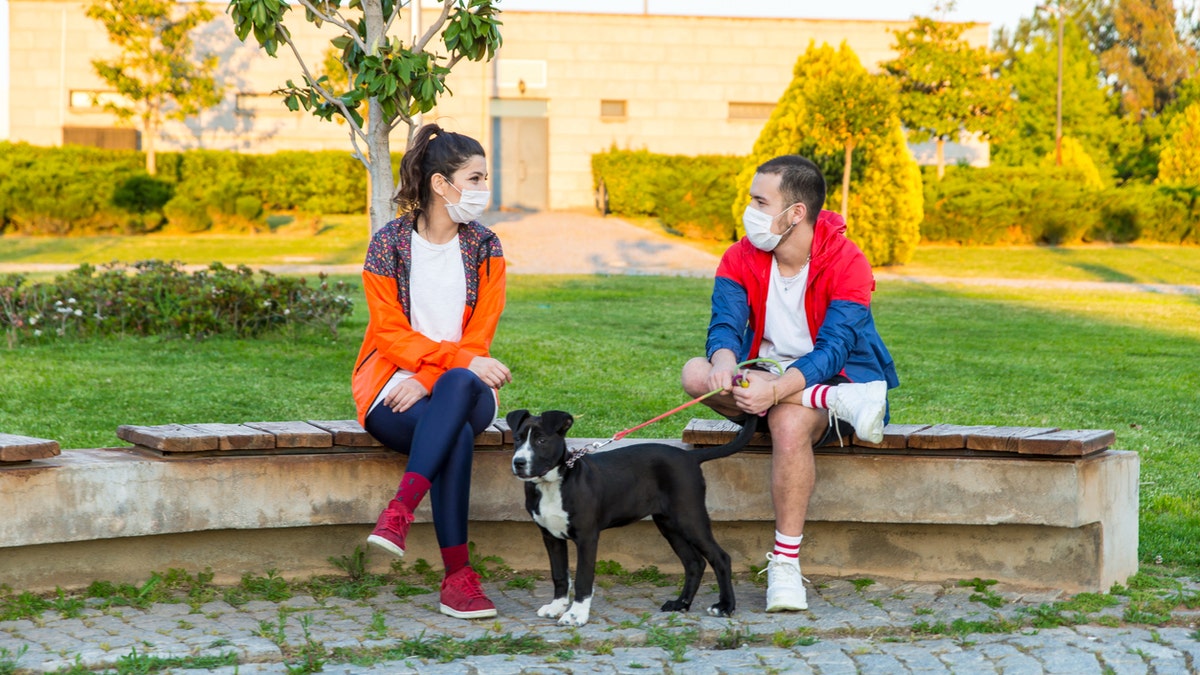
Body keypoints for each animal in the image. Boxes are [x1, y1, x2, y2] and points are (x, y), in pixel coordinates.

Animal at [508, 410, 758, 624]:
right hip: (669, 524)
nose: (518, 462)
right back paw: (681, 603)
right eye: (517, 439)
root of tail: (689, 456)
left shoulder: (587, 537)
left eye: (541, 440)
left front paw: (576, 614)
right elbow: (559, 575)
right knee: (694, 562)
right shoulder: (551, 536)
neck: (553, 482)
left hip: (690, 517)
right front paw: (557, 606)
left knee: (720, 557)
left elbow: (582, 579)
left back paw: (725, 606)